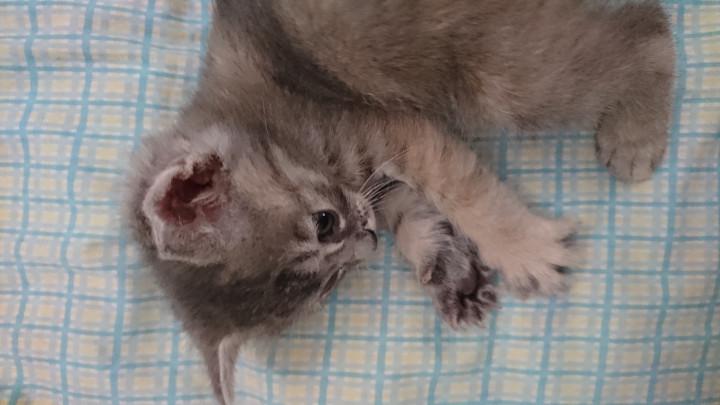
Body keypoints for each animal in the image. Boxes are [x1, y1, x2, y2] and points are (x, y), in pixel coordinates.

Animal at [122, 0, 675, 403]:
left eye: (324, 224)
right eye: (330, 286)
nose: (366, 243)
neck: (260, 124)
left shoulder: (390, 127)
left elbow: (462, 190)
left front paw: (522, 248)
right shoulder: (371, 179)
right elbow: (407, 208)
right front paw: (448, 269)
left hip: (494, 73)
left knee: (644, 27)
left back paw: (634, 135)